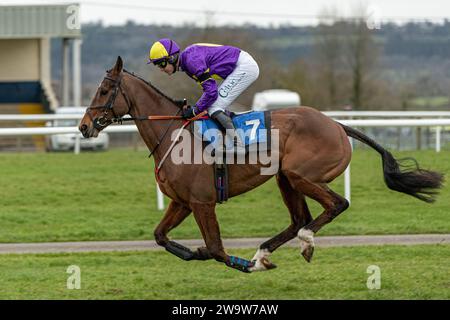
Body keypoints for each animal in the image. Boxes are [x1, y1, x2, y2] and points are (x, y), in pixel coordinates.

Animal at [78, 57, 442, 272]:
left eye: (105, 90)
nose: (84, 126)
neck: (174, 134)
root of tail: (338, 125)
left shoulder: (202, 202)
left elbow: (217, 249)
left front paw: (235, 262)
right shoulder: (182, 202)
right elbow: (160, 236)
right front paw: (195, 252)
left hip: (299, 174)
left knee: (336, 205)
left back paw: (299, 244)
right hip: (285, 178)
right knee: (299, 219)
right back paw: (265, 252)